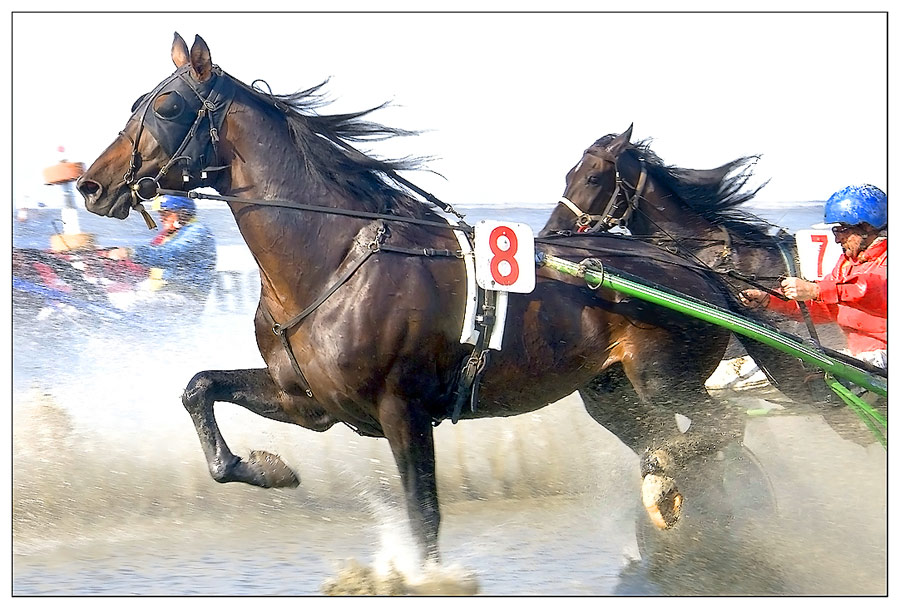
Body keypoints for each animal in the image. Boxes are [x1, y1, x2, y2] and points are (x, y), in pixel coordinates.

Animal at [75, 34, 740, 564]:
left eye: (166, 107)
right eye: (135, 104)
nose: (91, 185)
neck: (329, 261)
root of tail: (701, 275)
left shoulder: (404, 410)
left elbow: (424, 518)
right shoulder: (308, 402)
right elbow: (200, 388)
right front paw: (266, 467)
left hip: (665, 381)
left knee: (719, 435)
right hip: (610, 393)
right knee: (686, 447)